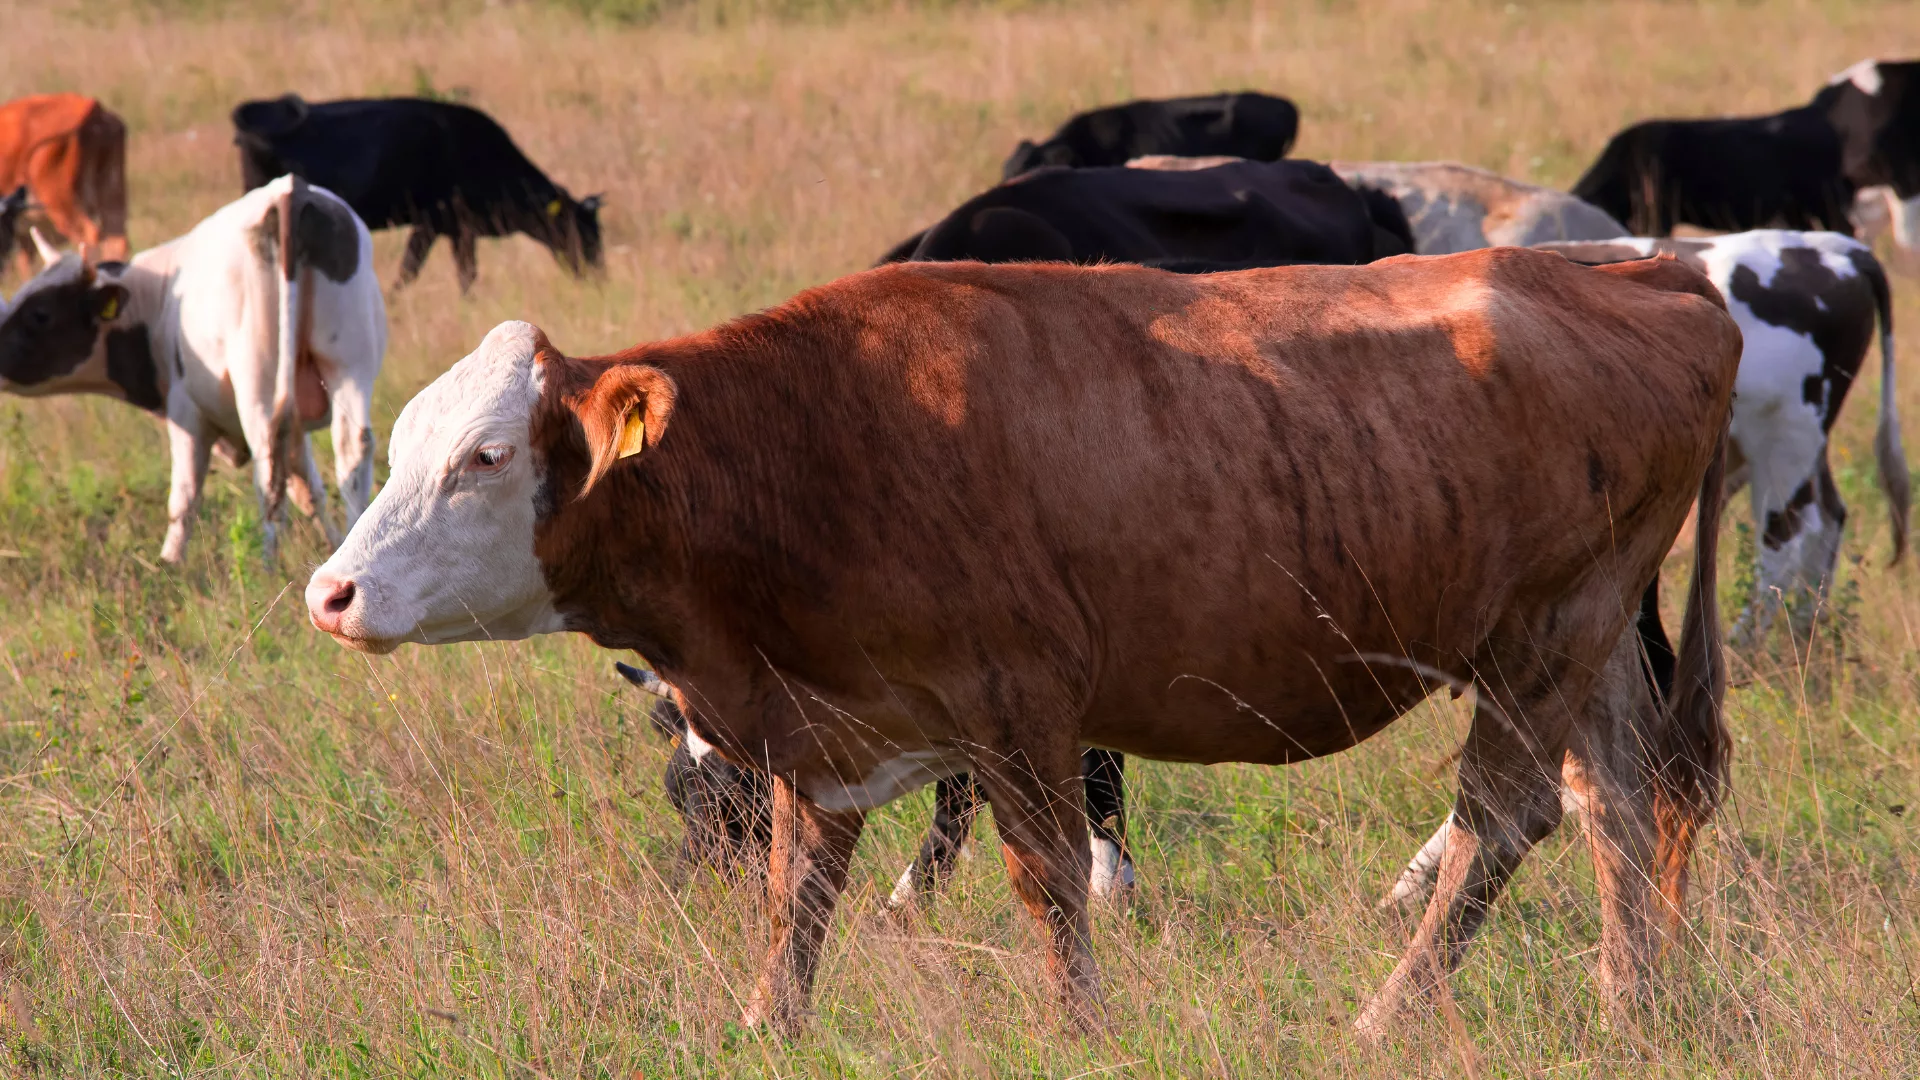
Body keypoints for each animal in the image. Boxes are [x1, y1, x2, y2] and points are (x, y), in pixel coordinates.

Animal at [0, 174, 385, 564]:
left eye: (40, 314)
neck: (158, 298)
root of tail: (290, 189)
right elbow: (309, 488)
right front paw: (338, 545)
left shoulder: (186, 411)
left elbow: (184, 499)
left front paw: (168, 563)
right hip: (347, 365)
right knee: (351, 449)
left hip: (258, 382)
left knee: (268, 465)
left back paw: (267, 563)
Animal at [299, 251, 1743, 1037]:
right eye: (410, 440)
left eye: (486, 459)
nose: (332, 593)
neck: (813, 444)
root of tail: (1644, 273)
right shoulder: (830, 730)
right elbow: (797, 895)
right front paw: (765, 1024)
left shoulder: (1021, 704)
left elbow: (1050, 881)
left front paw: (1079, 1027)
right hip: (1588, 639)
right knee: (1617, 803)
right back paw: (1636, 1000)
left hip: (1543, 636)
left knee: (1504, 819)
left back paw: (1387, 1016)